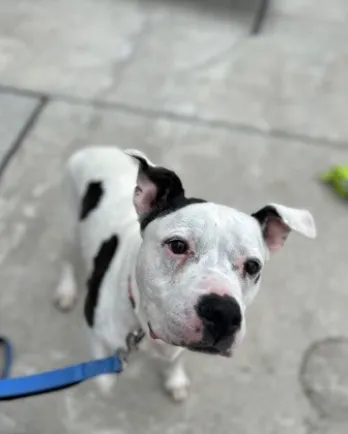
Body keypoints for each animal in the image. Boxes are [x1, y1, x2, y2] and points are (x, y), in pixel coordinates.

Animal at [53, 146, 316, 400]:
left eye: (253, 266)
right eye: (178, 245)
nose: (223, 313)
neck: (142, 324)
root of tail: (97, 147)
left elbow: (177, 359)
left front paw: (175, 379)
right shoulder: (98, 333)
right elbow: (101, 370)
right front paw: (104, 382)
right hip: (69, 228)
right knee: (66, 260)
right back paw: (66, 291)